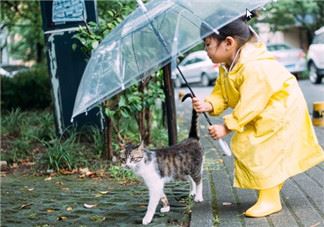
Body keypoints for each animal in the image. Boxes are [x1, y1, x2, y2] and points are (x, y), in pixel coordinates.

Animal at [123, 94, 202, 225]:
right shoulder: (156, 183)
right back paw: (192, 192)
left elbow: (151, 205)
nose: (127, 165)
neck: (143, 164)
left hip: (195, 168)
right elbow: (162, 195)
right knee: (191, 180)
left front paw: (147, 218)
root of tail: (192, 138)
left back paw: (199, 197)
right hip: (181, 171)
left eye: (133, 158)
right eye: (124, 159)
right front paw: (166, 207)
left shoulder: (154, 183)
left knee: (199, 181)